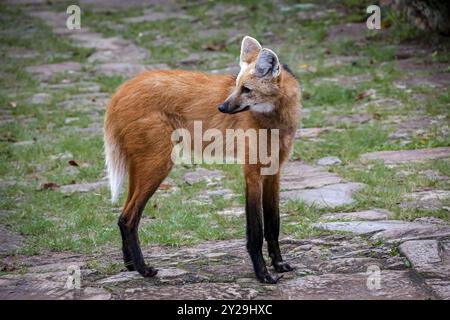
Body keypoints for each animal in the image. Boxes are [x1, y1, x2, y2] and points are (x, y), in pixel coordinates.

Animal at [104, 36, 302, 284]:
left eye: (246, 89)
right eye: (237, 86)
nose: (222, 107)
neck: (274, 120)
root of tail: (121, 90)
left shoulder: (273, 171)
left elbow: (273, 224)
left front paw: (279, 264)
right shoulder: (252, 172)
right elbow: (256, 232)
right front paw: (263, 274)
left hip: (142, 165)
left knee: (122, 216)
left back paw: (130, 266)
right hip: (159, 164)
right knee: (129, 218)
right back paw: (144, 269)